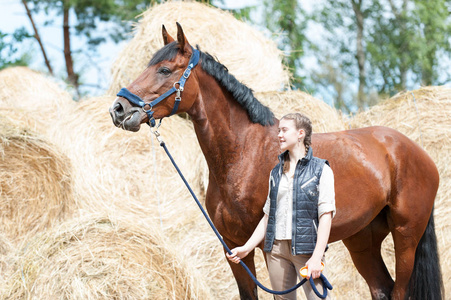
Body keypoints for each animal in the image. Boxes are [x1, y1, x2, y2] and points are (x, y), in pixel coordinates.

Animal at [109, 23, 444, 300]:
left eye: (165, 70)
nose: (118, 108)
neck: (243, 154)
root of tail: (413, 151)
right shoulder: (235, 248)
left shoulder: (265, 247)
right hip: (363, 240)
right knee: (381, 288)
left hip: (406, 236)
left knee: (399, 290)